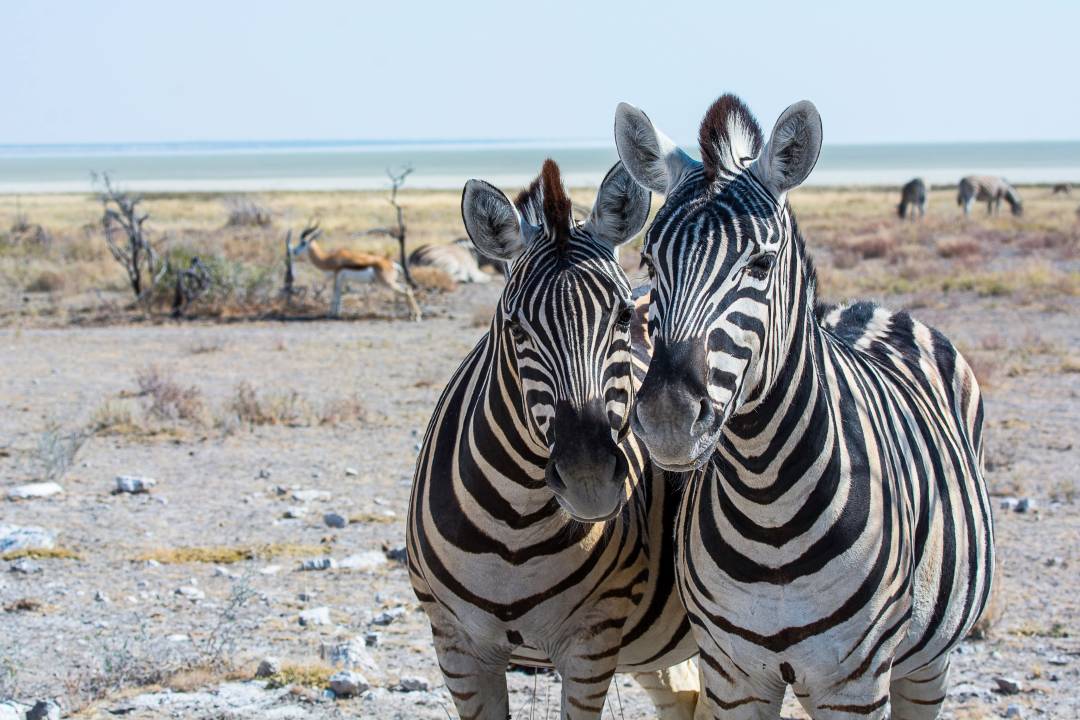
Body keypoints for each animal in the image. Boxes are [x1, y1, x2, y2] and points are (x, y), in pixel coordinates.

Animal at [407, 159, 699, 719]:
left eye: (623, 317)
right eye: (515, 328)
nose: (589, 480)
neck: (513, 531)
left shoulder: (592, 641)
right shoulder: (455, 645)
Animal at [613, 94, 995, 719]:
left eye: (761, 266)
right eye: (647, 263)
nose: (668, 419)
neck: (768, 508)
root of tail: (872, 305)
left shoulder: (855, 683)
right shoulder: (733, 675)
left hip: (927, 661)